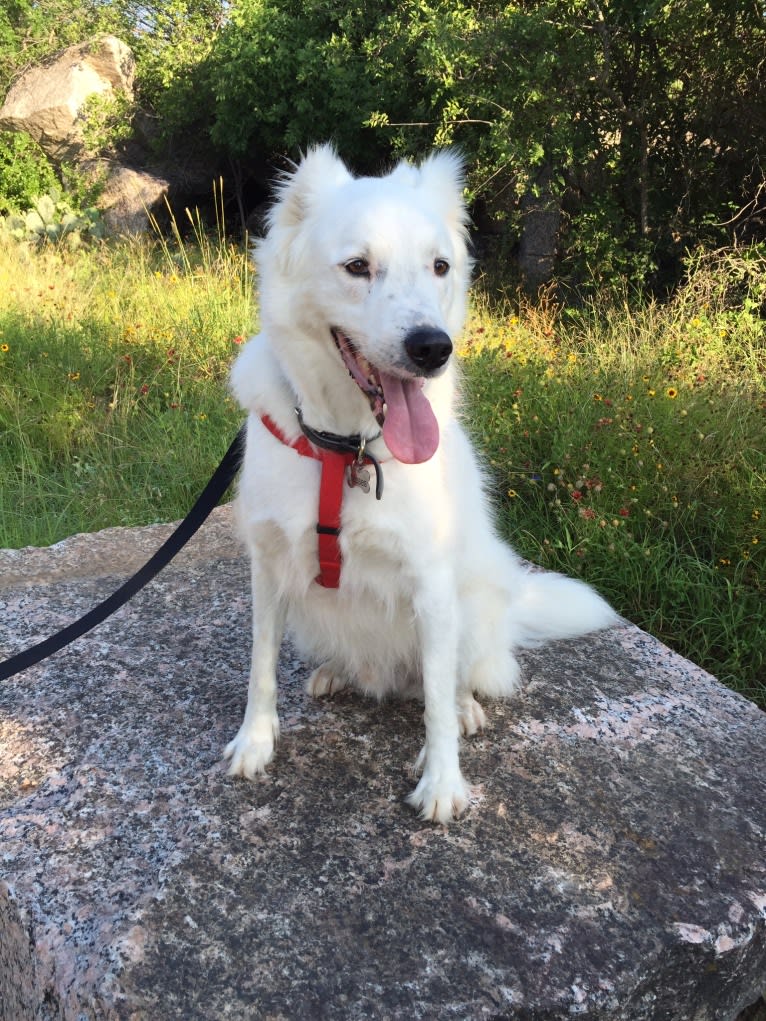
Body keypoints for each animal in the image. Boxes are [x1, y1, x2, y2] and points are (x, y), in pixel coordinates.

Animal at [223, 146, 616, 820]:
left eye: (440, 266)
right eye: (357, 266)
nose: (433, 347)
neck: (347, 449)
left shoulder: (431, 584)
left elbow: (433, 701)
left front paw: (441, 782)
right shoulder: (269, 566)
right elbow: (260, 666)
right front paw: (256, 741)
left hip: (472, 606)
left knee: (451, 682)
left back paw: (464, 710)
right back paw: (336, 672)